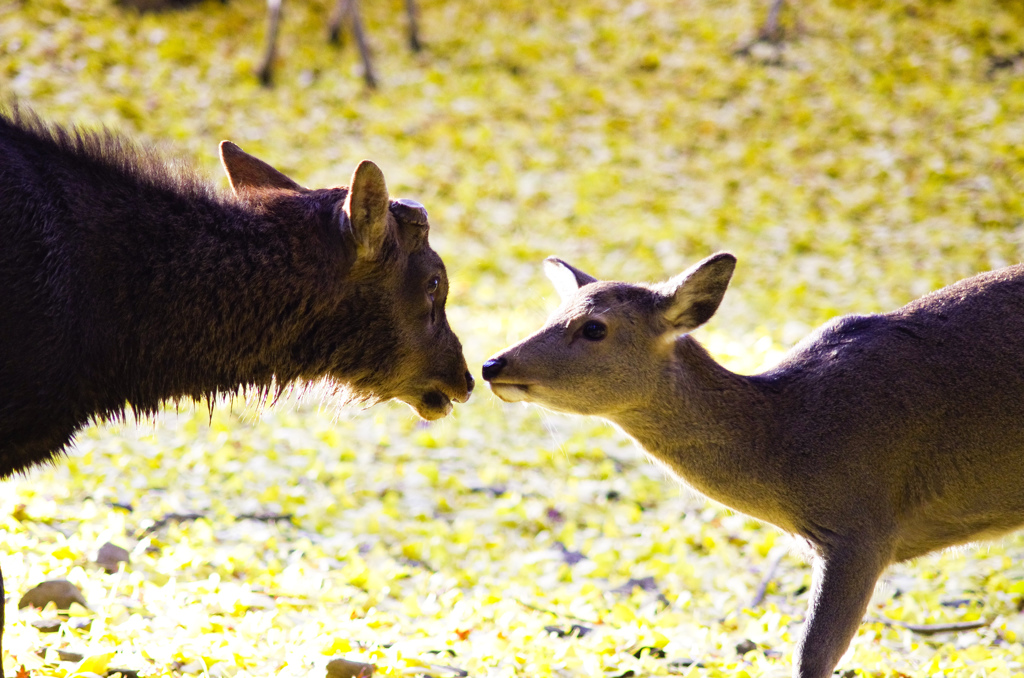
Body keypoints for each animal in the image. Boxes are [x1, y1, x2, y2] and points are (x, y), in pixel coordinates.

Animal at [483, 253, 1024, 678]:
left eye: (594, 327)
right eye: (554, 313)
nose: (493, 364)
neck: (789, 442)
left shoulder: (862, 528)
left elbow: (811, 657)